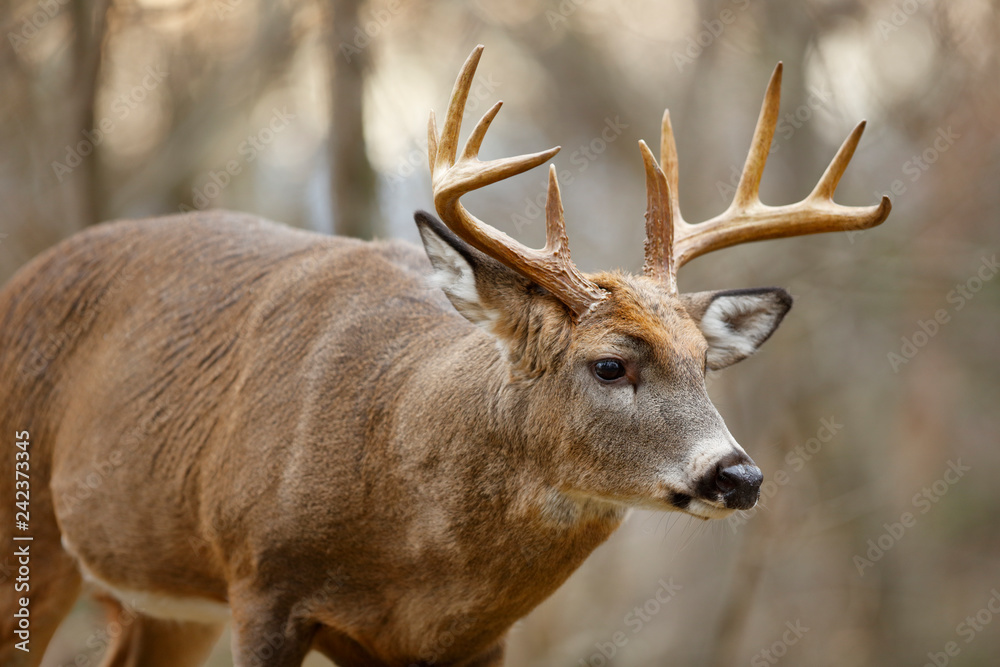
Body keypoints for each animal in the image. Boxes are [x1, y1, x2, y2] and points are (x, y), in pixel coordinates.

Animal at [0, 45, 889, 667]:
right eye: (610, 363)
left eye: (705, 362)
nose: (737, 475)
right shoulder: (261, 582)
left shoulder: (474, 640)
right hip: (32, 535)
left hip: (163, 602)